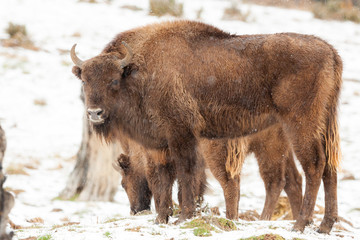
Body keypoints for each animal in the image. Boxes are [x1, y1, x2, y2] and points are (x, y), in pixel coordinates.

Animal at [69, 19, 340, 233]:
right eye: (84, 80)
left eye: (114, 80)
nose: (94, 113)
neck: (139, 72)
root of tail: (329, 51)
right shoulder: (159, 144)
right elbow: (163, 179)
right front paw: (161, 219)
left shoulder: (181, 135)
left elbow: (185, 174)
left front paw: (184, 216)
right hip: (323, 126)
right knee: (328, 168)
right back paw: (324, 226)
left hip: (299, 126)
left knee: (312, 166)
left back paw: (300, 224)